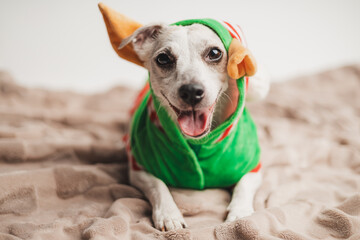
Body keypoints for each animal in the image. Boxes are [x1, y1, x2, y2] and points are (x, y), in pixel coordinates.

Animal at [98, 3, 270, 231]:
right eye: (163, 58)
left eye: (214, 53)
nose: (191, 91)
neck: (197, 143)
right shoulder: (139, 169)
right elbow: (158, 186)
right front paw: (169, 215)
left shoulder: (253, 169)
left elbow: (244, 186)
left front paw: (239, 213)